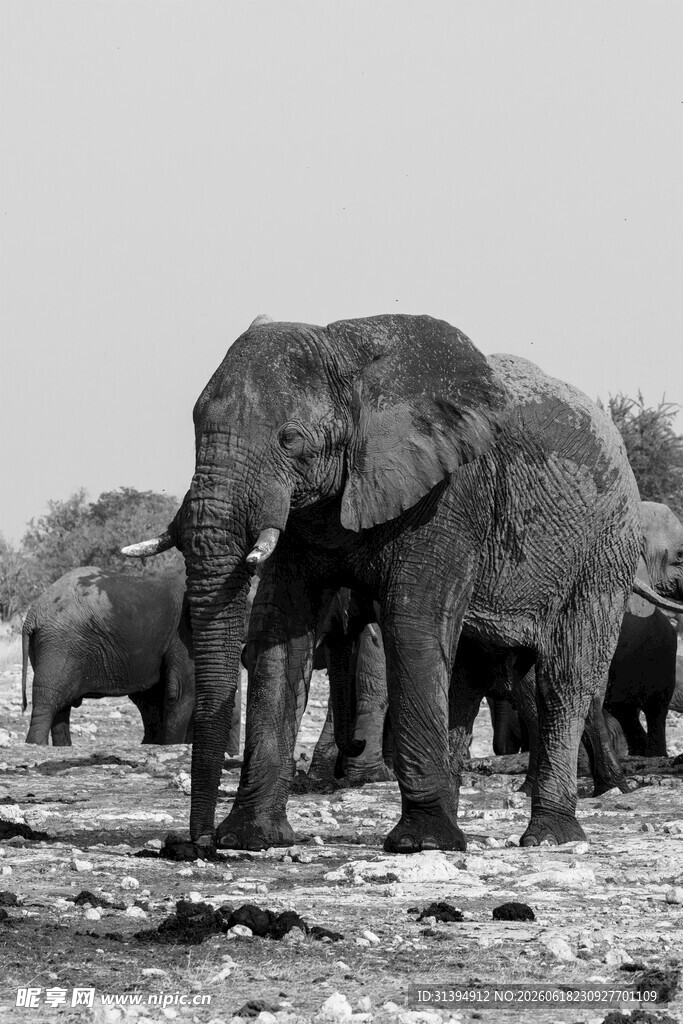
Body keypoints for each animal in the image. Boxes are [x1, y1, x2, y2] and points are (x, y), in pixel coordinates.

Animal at [22, 566, 242, 752]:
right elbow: (180, 693)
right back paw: (36, 745)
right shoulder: (183, 637)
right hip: (60, 644)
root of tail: (32, 615)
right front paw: (171, 746)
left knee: (61, 705)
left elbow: (153, 699)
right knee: (48, 698)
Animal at [125, 312, 683, 853]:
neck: (346, 354)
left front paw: (419, 844)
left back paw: (549, 836)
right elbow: (280, 637)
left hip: (601, 552)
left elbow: (411, 622)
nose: (191, 845)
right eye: (195, 427)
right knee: (464, 678)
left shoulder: (450, 498)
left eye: (290, 438)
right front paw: (248, 839)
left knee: (563, 680)